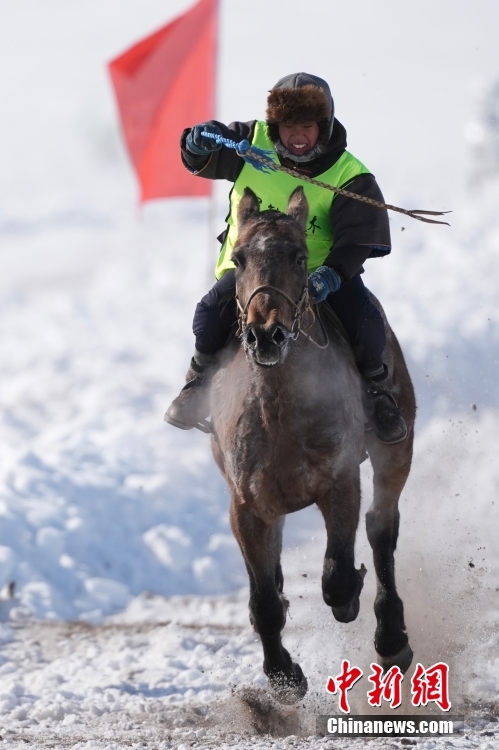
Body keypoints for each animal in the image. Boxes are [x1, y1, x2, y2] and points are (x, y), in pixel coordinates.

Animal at [209, 185, 416, 704]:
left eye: (300, 257)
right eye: (238, 258)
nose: (266, 334)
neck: (278, 411)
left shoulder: (339, 481)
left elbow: (338, 575)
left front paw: (350, 601)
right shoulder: (248, 505)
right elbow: (263, 600)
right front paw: (284, 676)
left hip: (395, 447)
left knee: (381, 527)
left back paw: (391, 639)